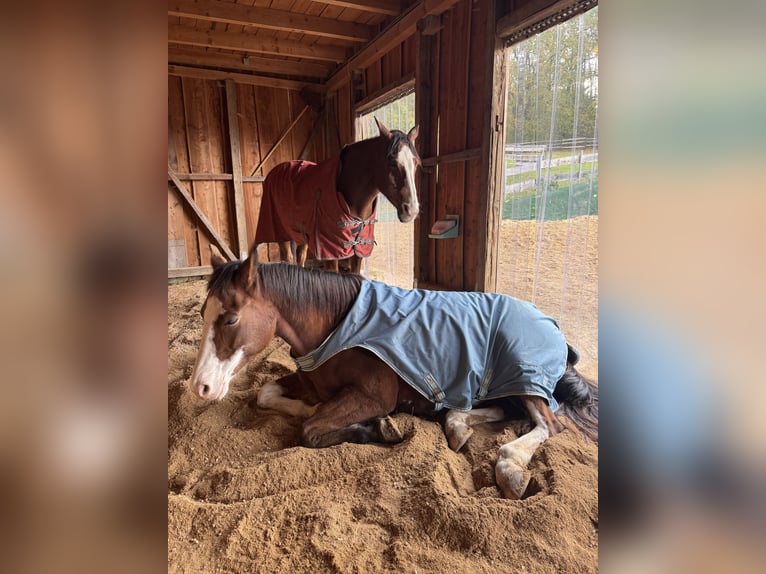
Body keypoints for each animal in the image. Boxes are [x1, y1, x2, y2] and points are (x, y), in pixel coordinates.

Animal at [188, 248, 598, 499]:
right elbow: (267, 395)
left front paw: (377, 428)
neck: (338, 328)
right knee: (496, 410)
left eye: (230, 319)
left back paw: (510, 466)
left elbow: (310, 430)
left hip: (524, 377)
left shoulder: (372, 396)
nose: (200, 387)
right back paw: (458, 425)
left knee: (549, 424)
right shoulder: (310, 383)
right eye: (203, 314)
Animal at [254, 117, 420, 275]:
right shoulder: (330, 253)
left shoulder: (359, 250)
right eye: (392, 161)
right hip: (279, 232)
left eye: (416, 163)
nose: (411, 210)